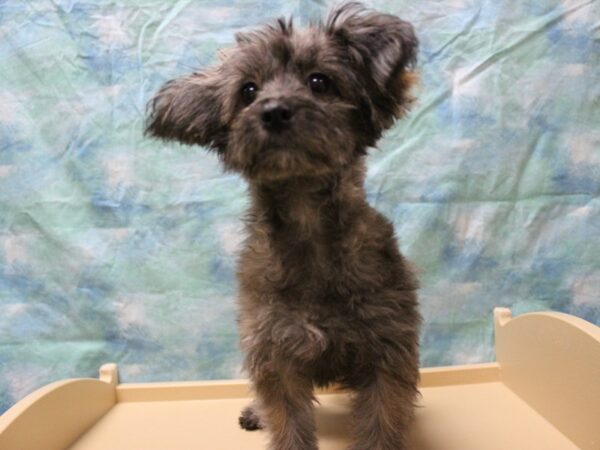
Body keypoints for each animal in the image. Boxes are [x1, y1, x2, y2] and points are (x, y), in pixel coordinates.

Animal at [148, 2, 422, 446]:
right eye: (248, 91)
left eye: (320, 81)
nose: (274, 111)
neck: (305, 218)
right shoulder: (274, 352)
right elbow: (287, 421)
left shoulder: (386, 348)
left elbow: (381, 423)